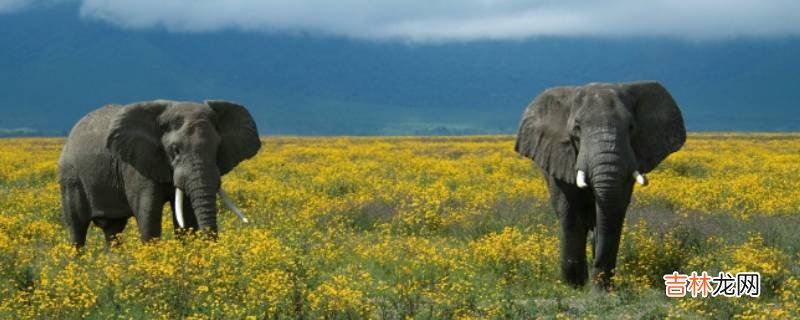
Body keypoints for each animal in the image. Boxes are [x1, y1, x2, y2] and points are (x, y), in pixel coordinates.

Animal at [59, 100, 260, 248]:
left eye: (217, 149)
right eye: (175, 150)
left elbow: (186, 217)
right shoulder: (135, 163)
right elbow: (148, 213)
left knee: (113, 230)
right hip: (70, 177)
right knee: (77, 229)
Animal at [516, 80, 684, 290]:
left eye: (631, 127)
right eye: (577, 129)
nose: (598, 287)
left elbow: (615, 212)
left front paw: (601, 289)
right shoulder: (561, 155)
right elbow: (571, 213)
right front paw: (574, 286)